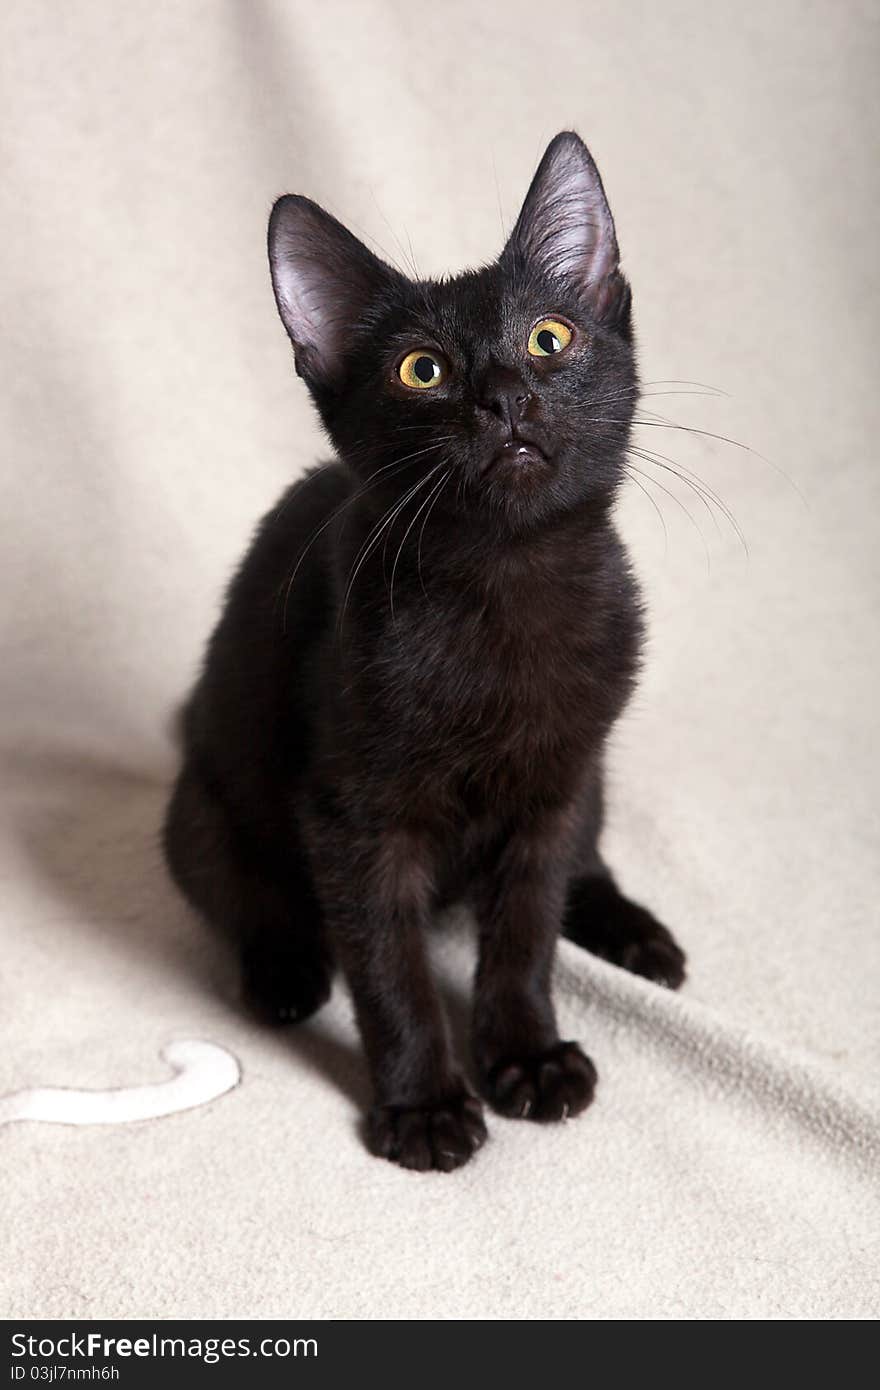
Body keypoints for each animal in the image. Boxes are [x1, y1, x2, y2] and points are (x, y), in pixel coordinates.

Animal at [164, 132, 686, 1173]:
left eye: (549, 339)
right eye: (421, 371)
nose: (504, 397)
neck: (506, 588)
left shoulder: (555, 789)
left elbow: (525, 932)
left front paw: (526, 1055)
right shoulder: (352, 819)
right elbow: (388, 965)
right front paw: (425, 1105)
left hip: (593, 776)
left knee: (586, 866)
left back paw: (635, 933)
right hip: (205, 807)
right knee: (244, 894)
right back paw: (284, 971)